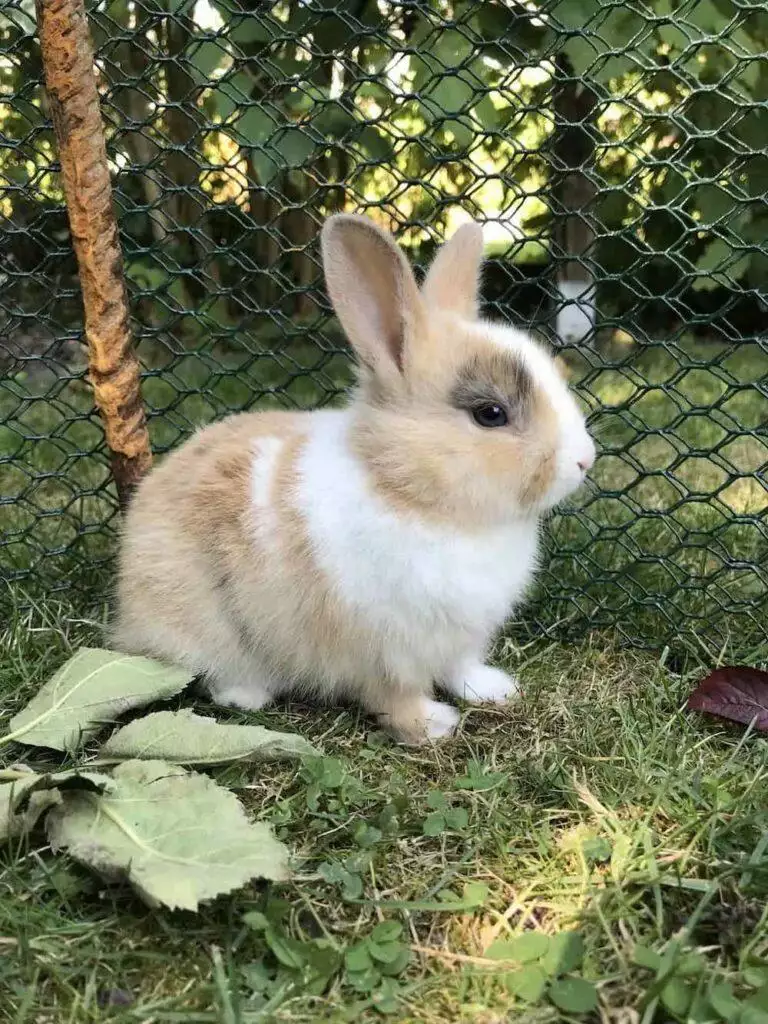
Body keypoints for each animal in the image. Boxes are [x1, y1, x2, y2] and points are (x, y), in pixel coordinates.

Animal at [110, 214, 595, 745]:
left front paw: (494, 690)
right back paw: (248, 694)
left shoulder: (460, 638)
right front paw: (433, 726)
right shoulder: (383, 650)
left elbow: (461, 667)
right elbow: (395, 697)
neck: (409, 494)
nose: (585, 460)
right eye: (491, 414)